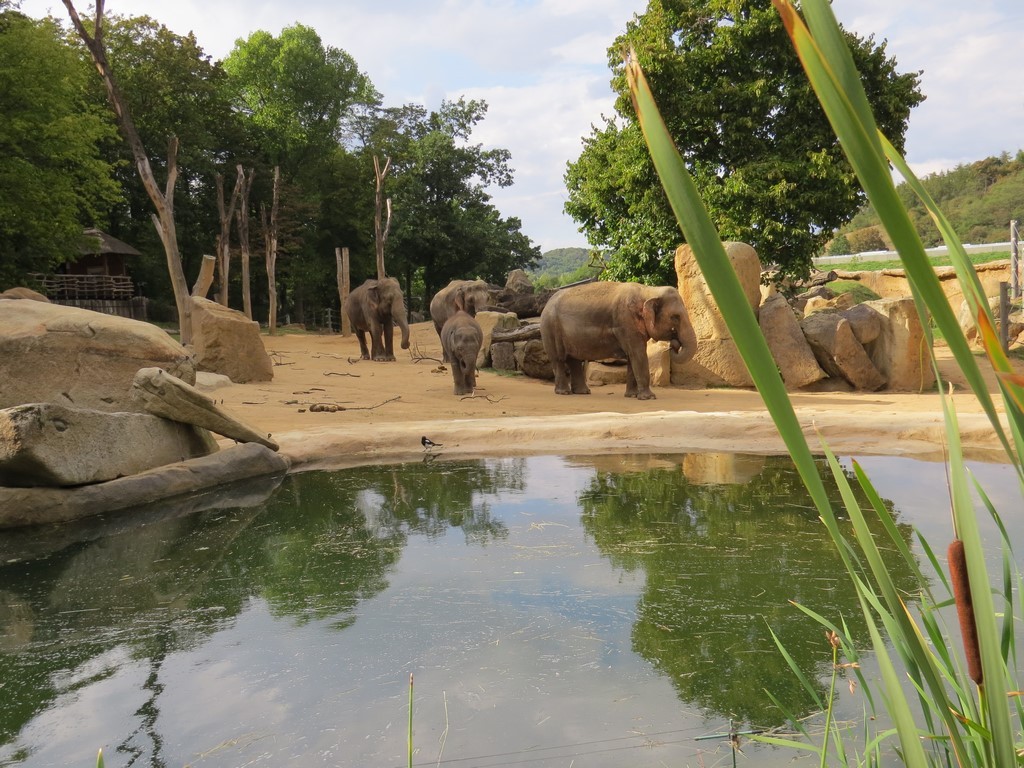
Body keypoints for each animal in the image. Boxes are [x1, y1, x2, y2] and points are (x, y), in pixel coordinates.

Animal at [540, 282, 700, 403]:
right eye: (675, 317)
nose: (674, 344)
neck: (649, 290)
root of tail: (546, 305)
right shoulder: (626, 322)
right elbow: (638, 355)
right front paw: (649, 398)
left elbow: (632, 358)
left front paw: (632, 396)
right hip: (550, 329)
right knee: (558, 360)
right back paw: (564, 392)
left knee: (573, 360)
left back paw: (583, 392)